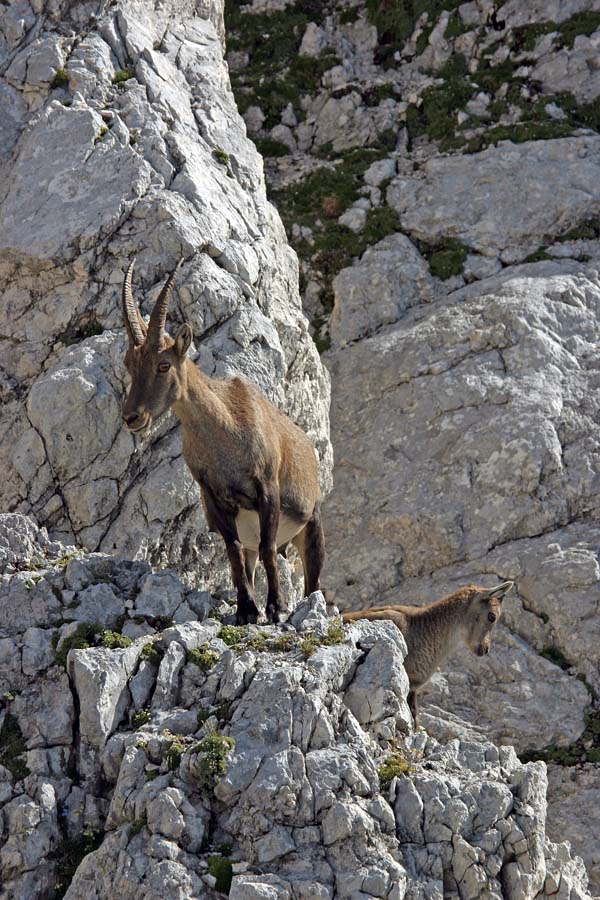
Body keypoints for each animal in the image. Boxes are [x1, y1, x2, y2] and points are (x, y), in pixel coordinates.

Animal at [120, 259, 325, 625]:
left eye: (163, 365)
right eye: (130, 363)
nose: (132, 417)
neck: (225, 436)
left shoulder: (267, 490)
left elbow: (269, 548)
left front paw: (276, 608)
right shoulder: (215, 497)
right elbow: (233, 553)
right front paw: (246, 610)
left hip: (311, 526)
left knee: (311, 581)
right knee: (249, 557)